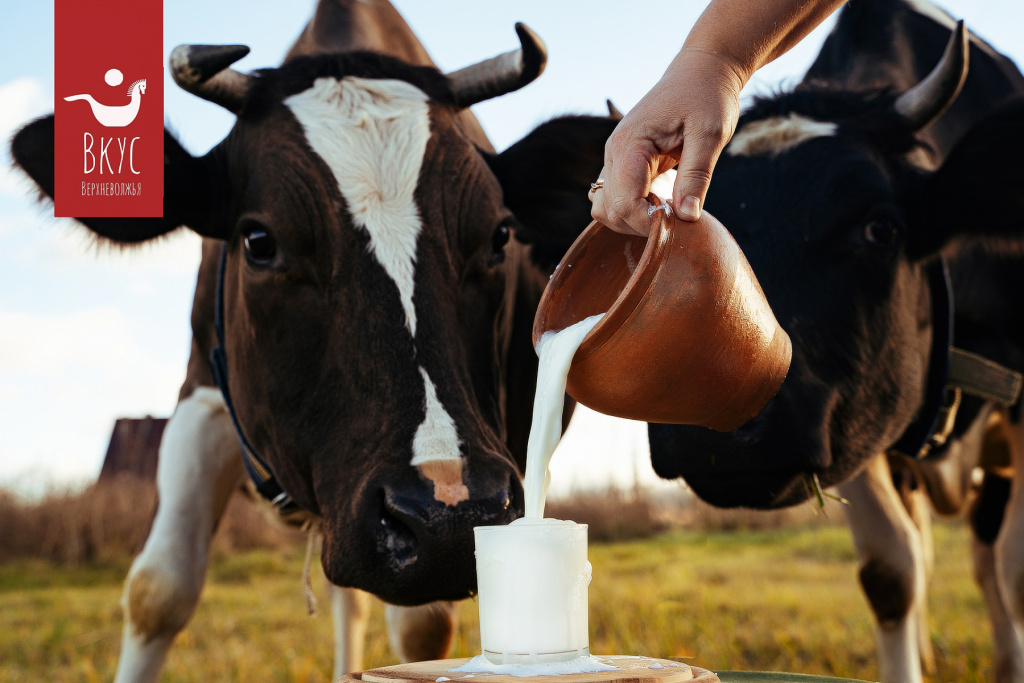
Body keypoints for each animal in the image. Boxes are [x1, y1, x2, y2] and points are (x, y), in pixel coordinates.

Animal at [9, 2, 614, 679]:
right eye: (258, 241)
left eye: (499, 235)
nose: (449, 518)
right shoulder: (200, 395)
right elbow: (158, 590)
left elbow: (424, 623)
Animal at [643, 1, 1024, 683]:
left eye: (881, 228)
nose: (712, 427)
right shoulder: (857, 415)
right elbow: (891, 576)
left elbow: (1017, 575)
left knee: (986, 561)